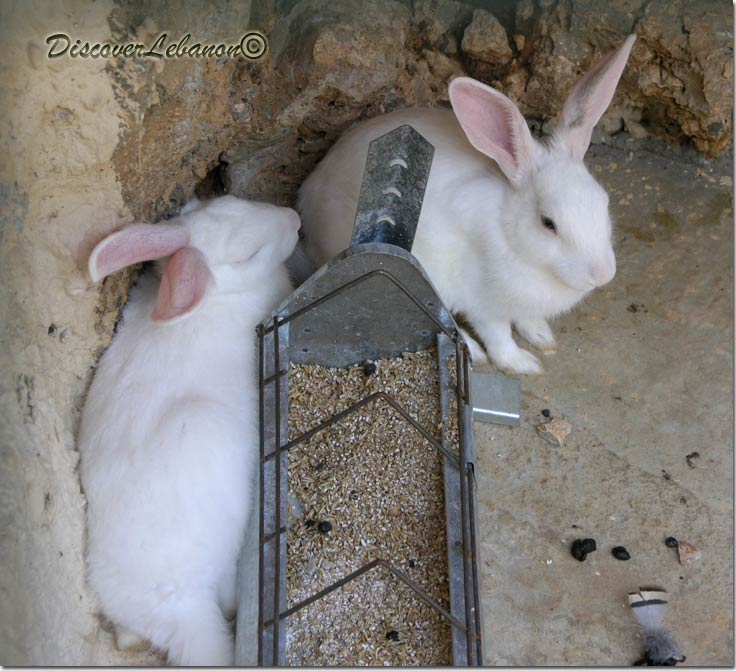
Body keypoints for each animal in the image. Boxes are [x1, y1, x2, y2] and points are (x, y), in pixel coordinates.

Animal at [297, 35, 636, 374]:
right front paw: (522, 363)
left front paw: (542, 337)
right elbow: (499, 336)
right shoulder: (485, 304)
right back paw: (473, 351)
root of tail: (309, 198)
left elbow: (526, 320)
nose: (603, 275)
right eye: (548, 223)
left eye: (604, 203)